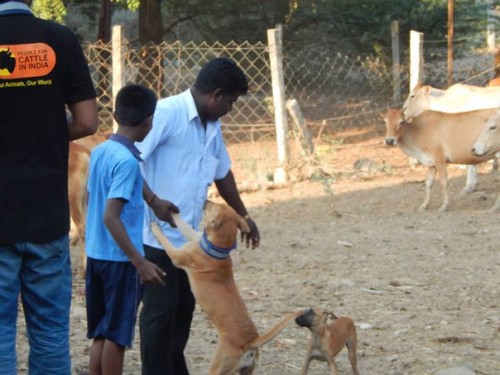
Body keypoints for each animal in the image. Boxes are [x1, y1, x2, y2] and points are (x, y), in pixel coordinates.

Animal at [150, 203, 302, 375]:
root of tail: (250, 341)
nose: (206, 201)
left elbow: (166, 241)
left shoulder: (177, 256)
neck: (218, 248)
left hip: (218, 367)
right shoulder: (195, 236)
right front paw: (171, 212)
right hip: (247, 371)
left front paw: (156, 229)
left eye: (213, 207)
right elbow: (182, 224)